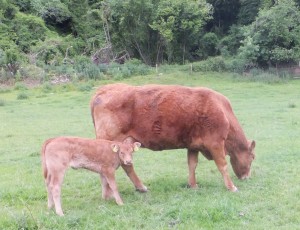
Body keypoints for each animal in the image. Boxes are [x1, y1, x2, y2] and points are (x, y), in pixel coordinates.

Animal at [89, 84, 255, 192]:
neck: (222, 110)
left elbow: (192, 164)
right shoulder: (215, 143)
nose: (247, 177)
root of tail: (104, 89)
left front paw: (193, 185)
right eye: (253, 157)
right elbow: (222, 165)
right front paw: (232, 187)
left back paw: (140, 187)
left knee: (127, 165)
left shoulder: (193, 145)